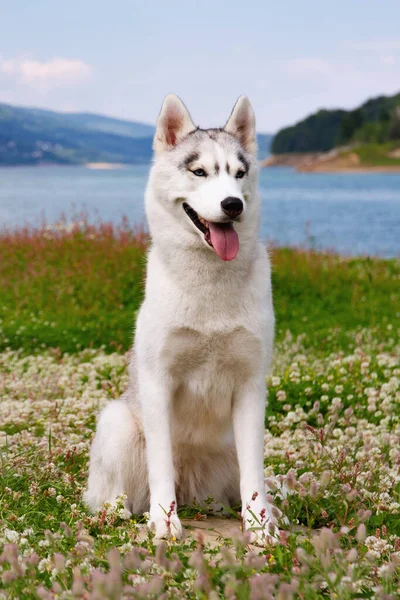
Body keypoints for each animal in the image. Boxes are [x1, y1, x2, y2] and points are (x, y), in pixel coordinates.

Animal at [84, 94, 278, 544]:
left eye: (239, 173)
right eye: (199, 171)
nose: (233, 205)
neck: (209, 288)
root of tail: (194, 492)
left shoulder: (250, 387)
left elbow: (254, 477)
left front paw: (260, 527)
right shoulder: (159, 382)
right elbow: (161, 466)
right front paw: (163, 520)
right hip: (117, 422)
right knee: (114, 495)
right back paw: (118, 513)